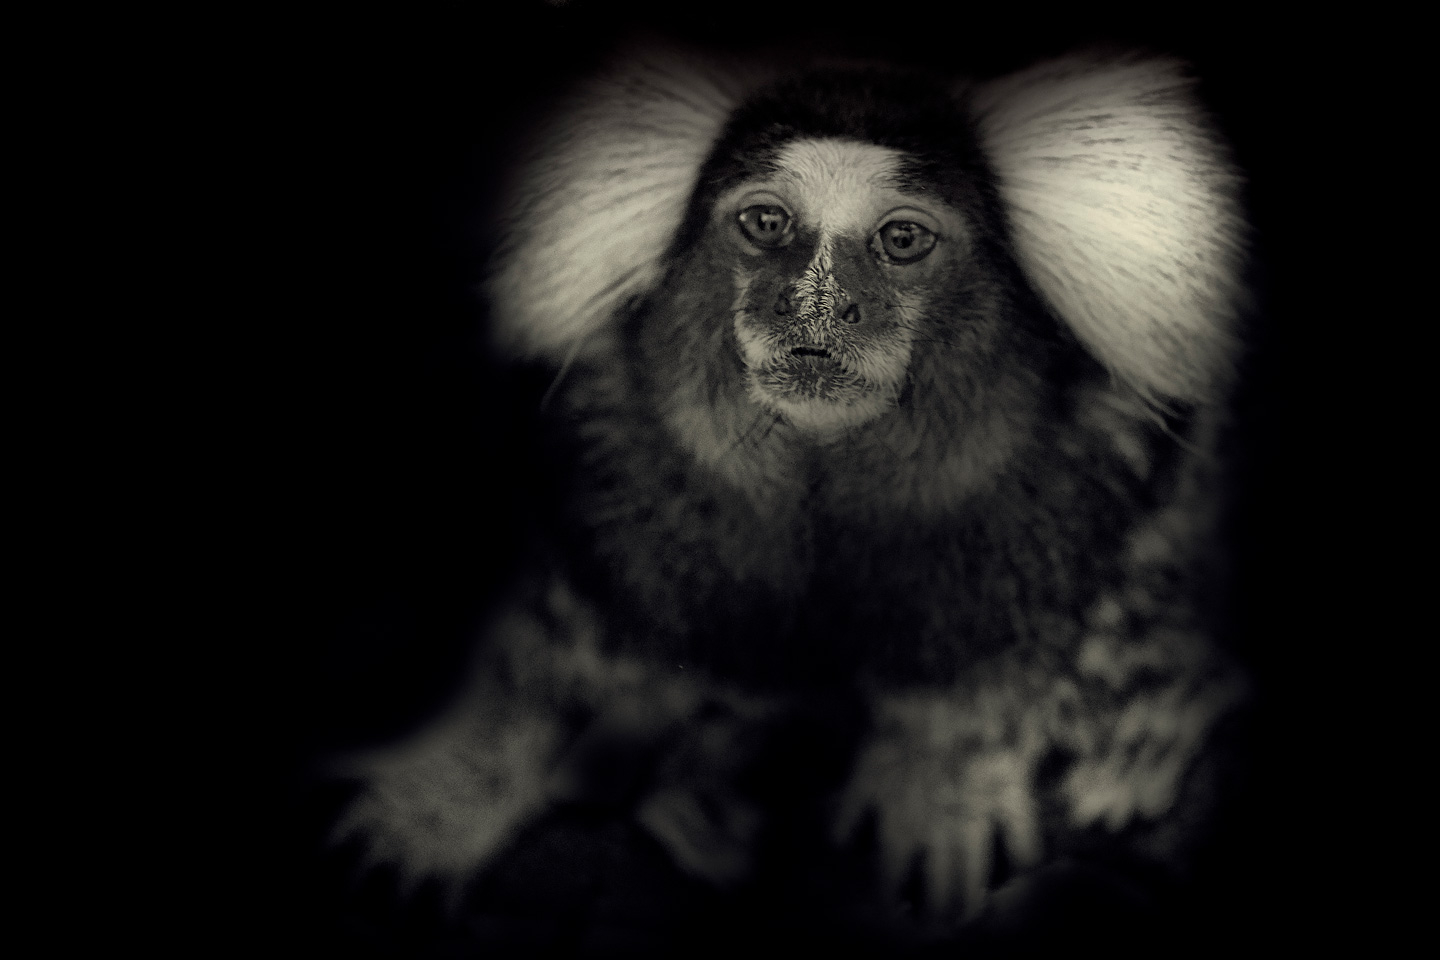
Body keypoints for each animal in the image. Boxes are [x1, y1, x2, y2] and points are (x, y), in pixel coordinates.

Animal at [327, 39, 1257, 953]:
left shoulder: (1098, 467)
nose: (815, 304)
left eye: (902, 239)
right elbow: (560, 647)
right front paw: (458, 783)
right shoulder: (616, 469)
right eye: (766, 224)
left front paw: (945, 762)